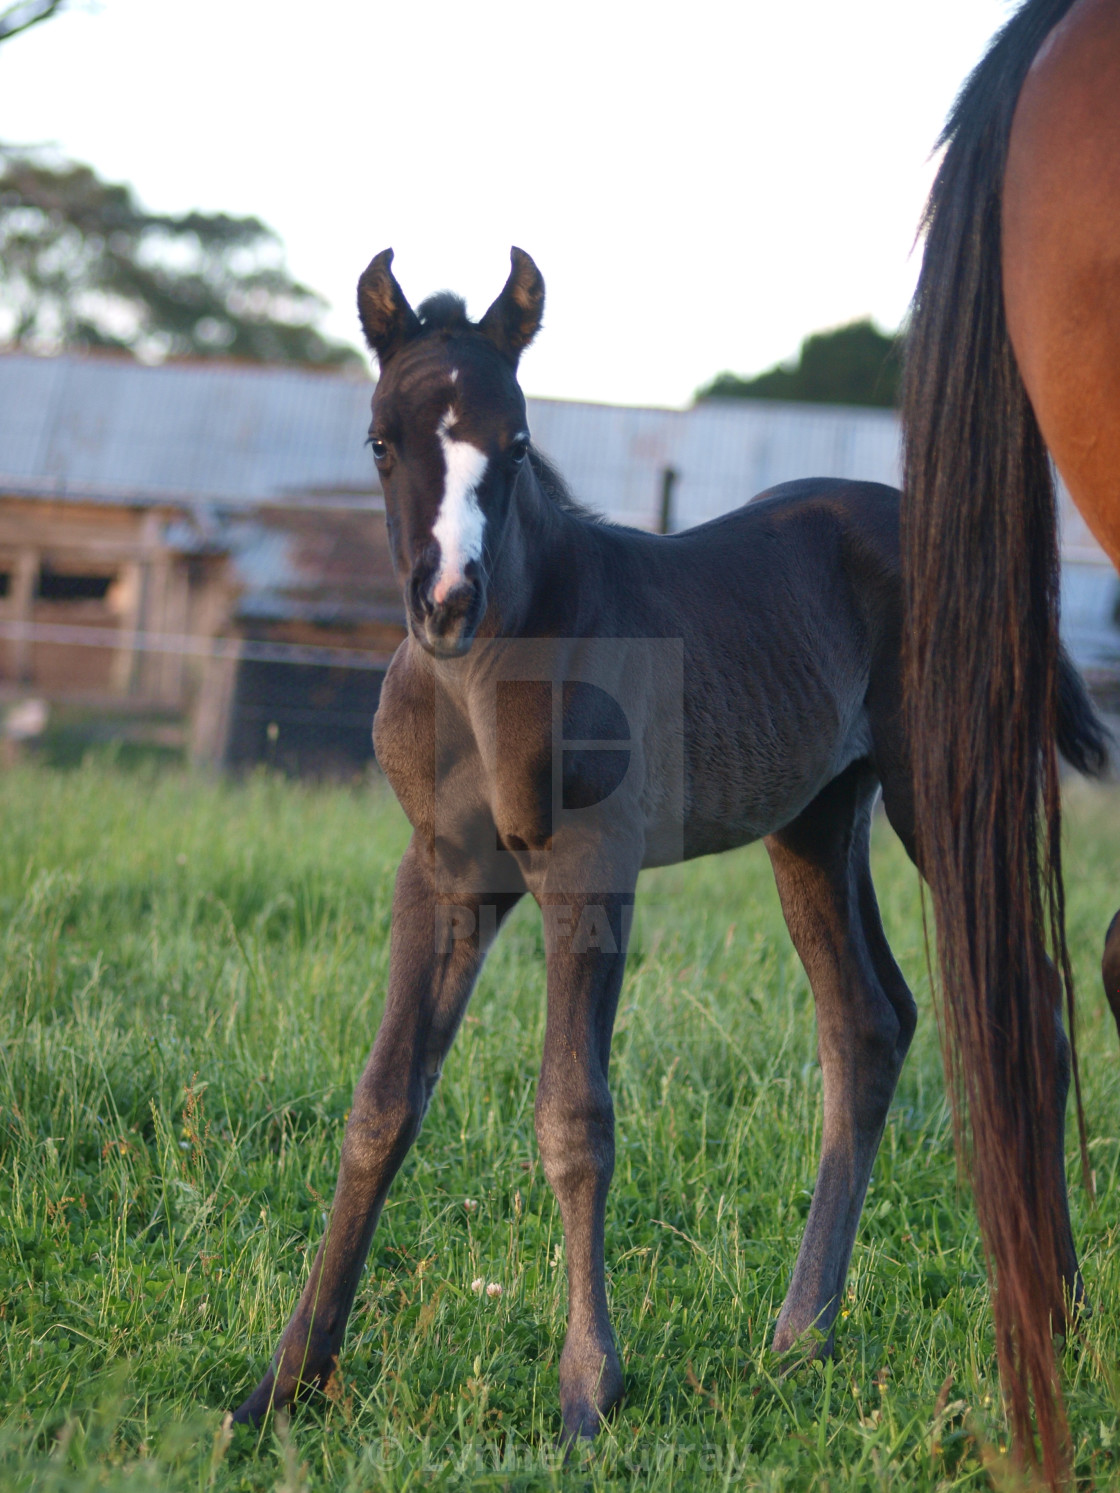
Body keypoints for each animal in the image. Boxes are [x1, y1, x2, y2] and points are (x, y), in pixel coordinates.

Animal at [232, 244, 1111, 1445]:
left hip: (947, 789)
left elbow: (574, 1116)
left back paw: (1056, 1314)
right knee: (868, 1023)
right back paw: (801, 1335)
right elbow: (380, 1103)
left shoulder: (589, 873)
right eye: (380, 439)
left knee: (1027, 1008)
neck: (486, 678)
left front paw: (586, 1391)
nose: (448, 599)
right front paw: (285, 1381)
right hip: (815, 820)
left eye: (516, 443)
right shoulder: (443, 878)